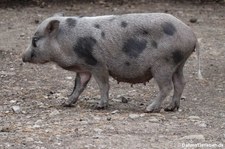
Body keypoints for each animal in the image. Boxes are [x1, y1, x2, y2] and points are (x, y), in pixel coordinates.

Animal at [22, 12, 202, 112]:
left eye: (35, 40)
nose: (22, 56)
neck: (67, 41)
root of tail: (192, 35)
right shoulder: (83, 68)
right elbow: (78, 86)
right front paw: (65, 103)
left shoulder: (98, 64)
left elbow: (103, 85)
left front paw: (98, 106)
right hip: (178, 63)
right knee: (180, 82)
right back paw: (171, 108)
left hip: (164, 63)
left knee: (167, 86)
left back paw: (149, 109)